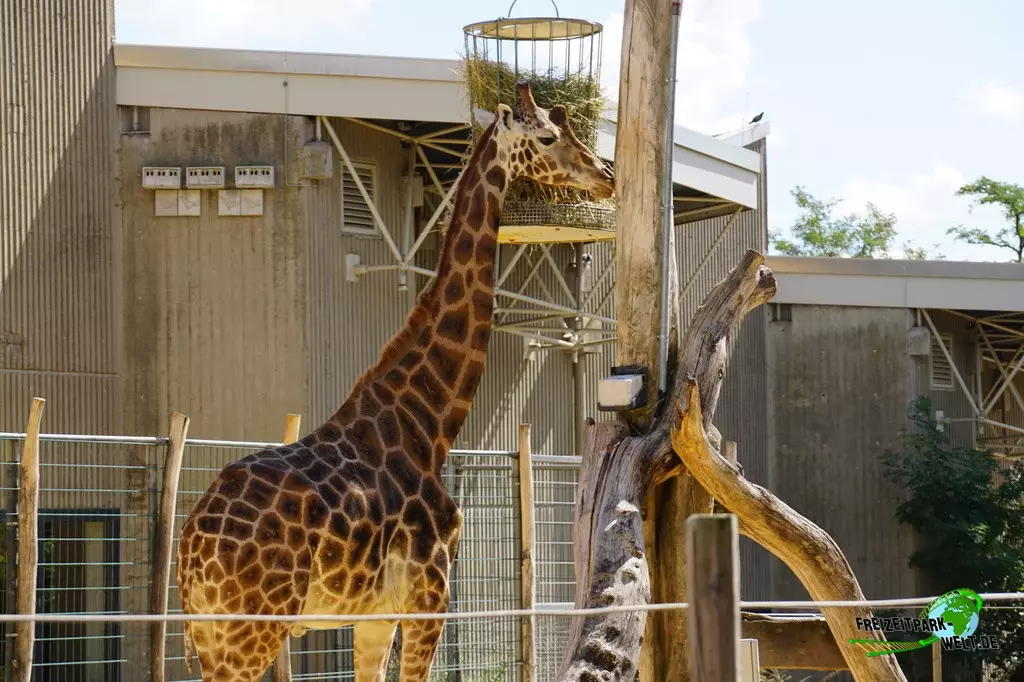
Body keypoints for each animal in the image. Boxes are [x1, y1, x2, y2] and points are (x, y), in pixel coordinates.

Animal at [175, 82, 615, 682]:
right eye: (548, 136)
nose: (606, 175)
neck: (429, 424)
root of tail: (192, 547)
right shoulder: (430, 595)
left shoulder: (374, 617)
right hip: (251, 627)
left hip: (209, 632)